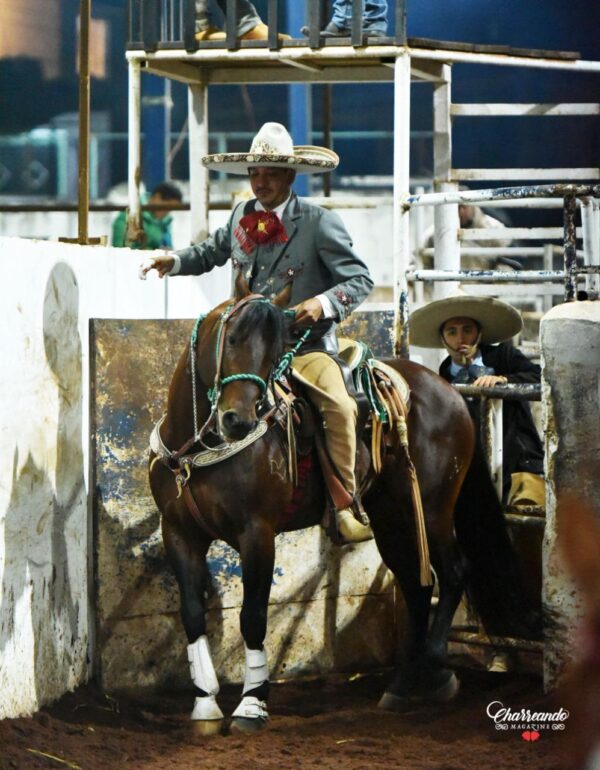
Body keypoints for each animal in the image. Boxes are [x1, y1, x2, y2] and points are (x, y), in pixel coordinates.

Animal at [148, 274, 536, 732]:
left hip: (432, 510)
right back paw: (403, 683)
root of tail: (450, 392)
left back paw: (437, 663)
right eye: (233, 337)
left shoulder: (256, 533)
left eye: (276, 353)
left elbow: (253, 617)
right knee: (416, 587)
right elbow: (192, 613)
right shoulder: (178, 533)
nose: (238, 421)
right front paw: (205, 702)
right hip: (391, 519)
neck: (197, 448)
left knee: (454, 570)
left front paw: (251, 704)